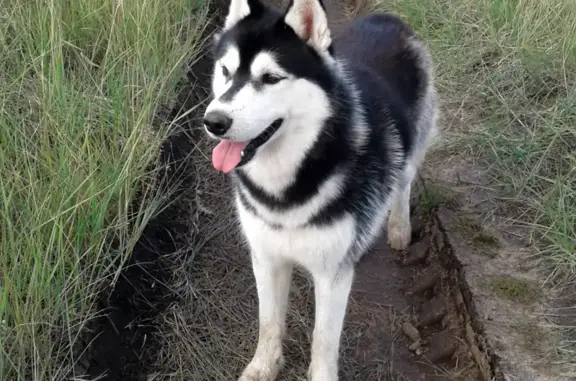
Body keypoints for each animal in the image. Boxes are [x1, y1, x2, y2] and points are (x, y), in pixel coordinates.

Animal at [202, 0, 436, 378]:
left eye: (271, 78)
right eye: (225, 71)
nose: (214, 122)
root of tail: (386, 18)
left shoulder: (332, 275)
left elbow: (323, 339)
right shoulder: (266, 257)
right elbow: (269, 322)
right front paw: (264, 367)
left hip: (412, 148)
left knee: (403, 183)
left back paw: (399, 227)